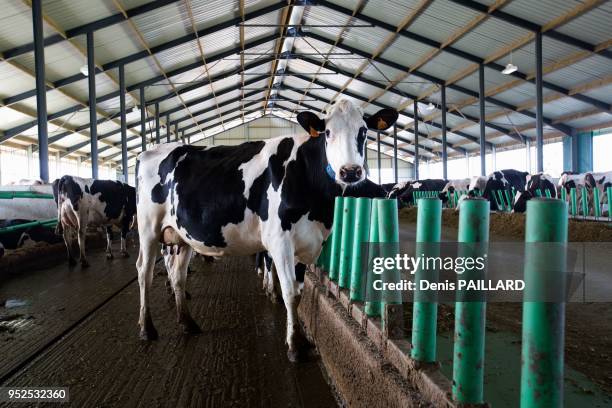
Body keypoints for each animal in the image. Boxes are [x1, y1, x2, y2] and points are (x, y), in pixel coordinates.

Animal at [136, 100, 400, 362]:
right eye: (327, 132)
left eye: (363, 131)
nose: (351, 171)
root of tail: (149, 151)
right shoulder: (279, 240)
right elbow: (290, 292)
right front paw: (294, 346)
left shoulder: (307, 243)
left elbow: (299, 292)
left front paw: (302, 341)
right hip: (148, 229)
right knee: (144, 272)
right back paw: (147, 329)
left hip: (181, 236)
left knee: (177, 274)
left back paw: (187, 323)